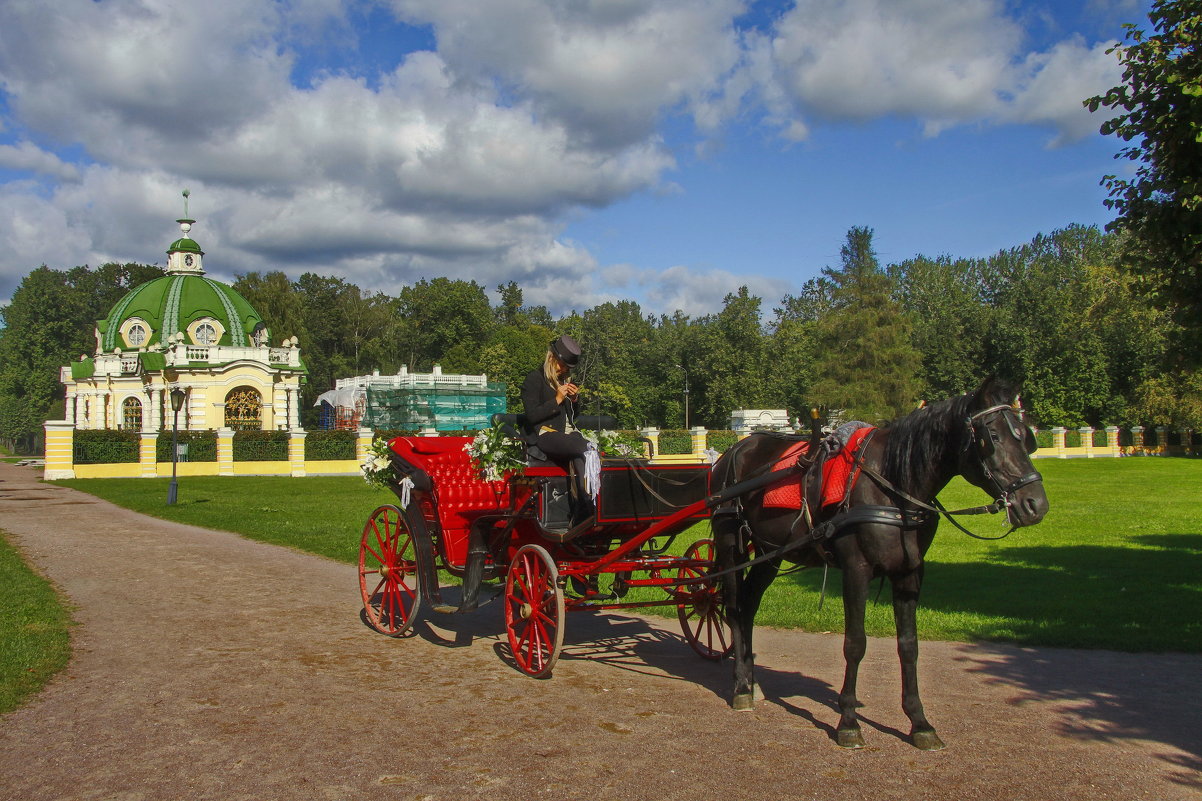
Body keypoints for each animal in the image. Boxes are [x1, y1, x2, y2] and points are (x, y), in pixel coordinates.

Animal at [706, 375, 1048, 750]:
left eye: (1026, 436)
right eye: (994, 436)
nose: (1035, 503)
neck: (892, 487)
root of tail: (736, 449)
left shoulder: (910, 574)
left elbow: (909, 646)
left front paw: (919, 722)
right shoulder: (856, 570)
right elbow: (855, 644)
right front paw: (848, 720)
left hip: (772, 553)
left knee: (749, 607)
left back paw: (752, 681)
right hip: (731, 544)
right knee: (734, 608)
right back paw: (740, 686)